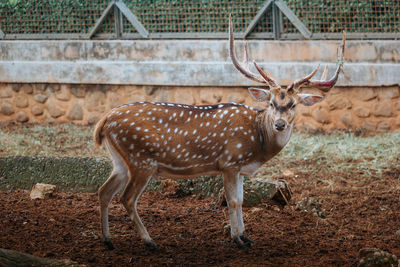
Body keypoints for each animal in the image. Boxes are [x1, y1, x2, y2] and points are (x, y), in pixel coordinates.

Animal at [93, 16, 344, 251]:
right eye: (272, 103)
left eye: (293, 104)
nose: (280, 124)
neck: (258, 142)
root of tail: (104, 120)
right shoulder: (229, 161)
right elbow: (232, 201)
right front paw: (237, 239)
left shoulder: (241, 168)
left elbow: (242, 201)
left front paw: (246, 236)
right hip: (140, 159)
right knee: (127, 198)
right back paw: (149, 241)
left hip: (120, 160)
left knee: (104, 191)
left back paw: (108, 240)